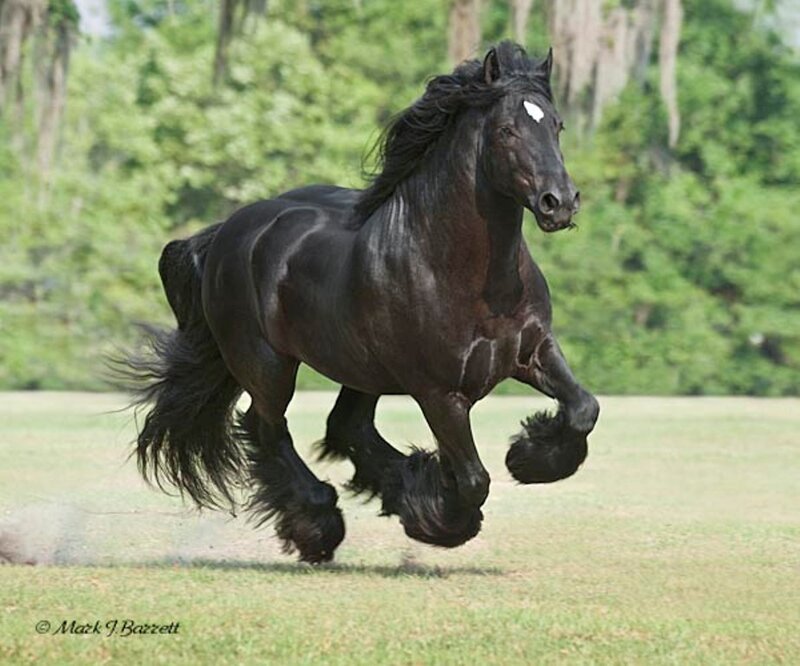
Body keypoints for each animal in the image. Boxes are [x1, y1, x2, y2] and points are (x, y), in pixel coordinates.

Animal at [126, 41, 600, 564]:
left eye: (556, 125)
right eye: (507, 130)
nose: (560, 202)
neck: (465, 273)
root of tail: (229, 231)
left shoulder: (534, 351)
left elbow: (584, 409)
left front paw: (526, 458)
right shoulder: (439, 393)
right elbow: (475, 479)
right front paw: (436, 517)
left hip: (360, 369)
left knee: (345, 426)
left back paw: (390, 488)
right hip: (266, 364)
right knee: (266, 428)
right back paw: (318, 524)